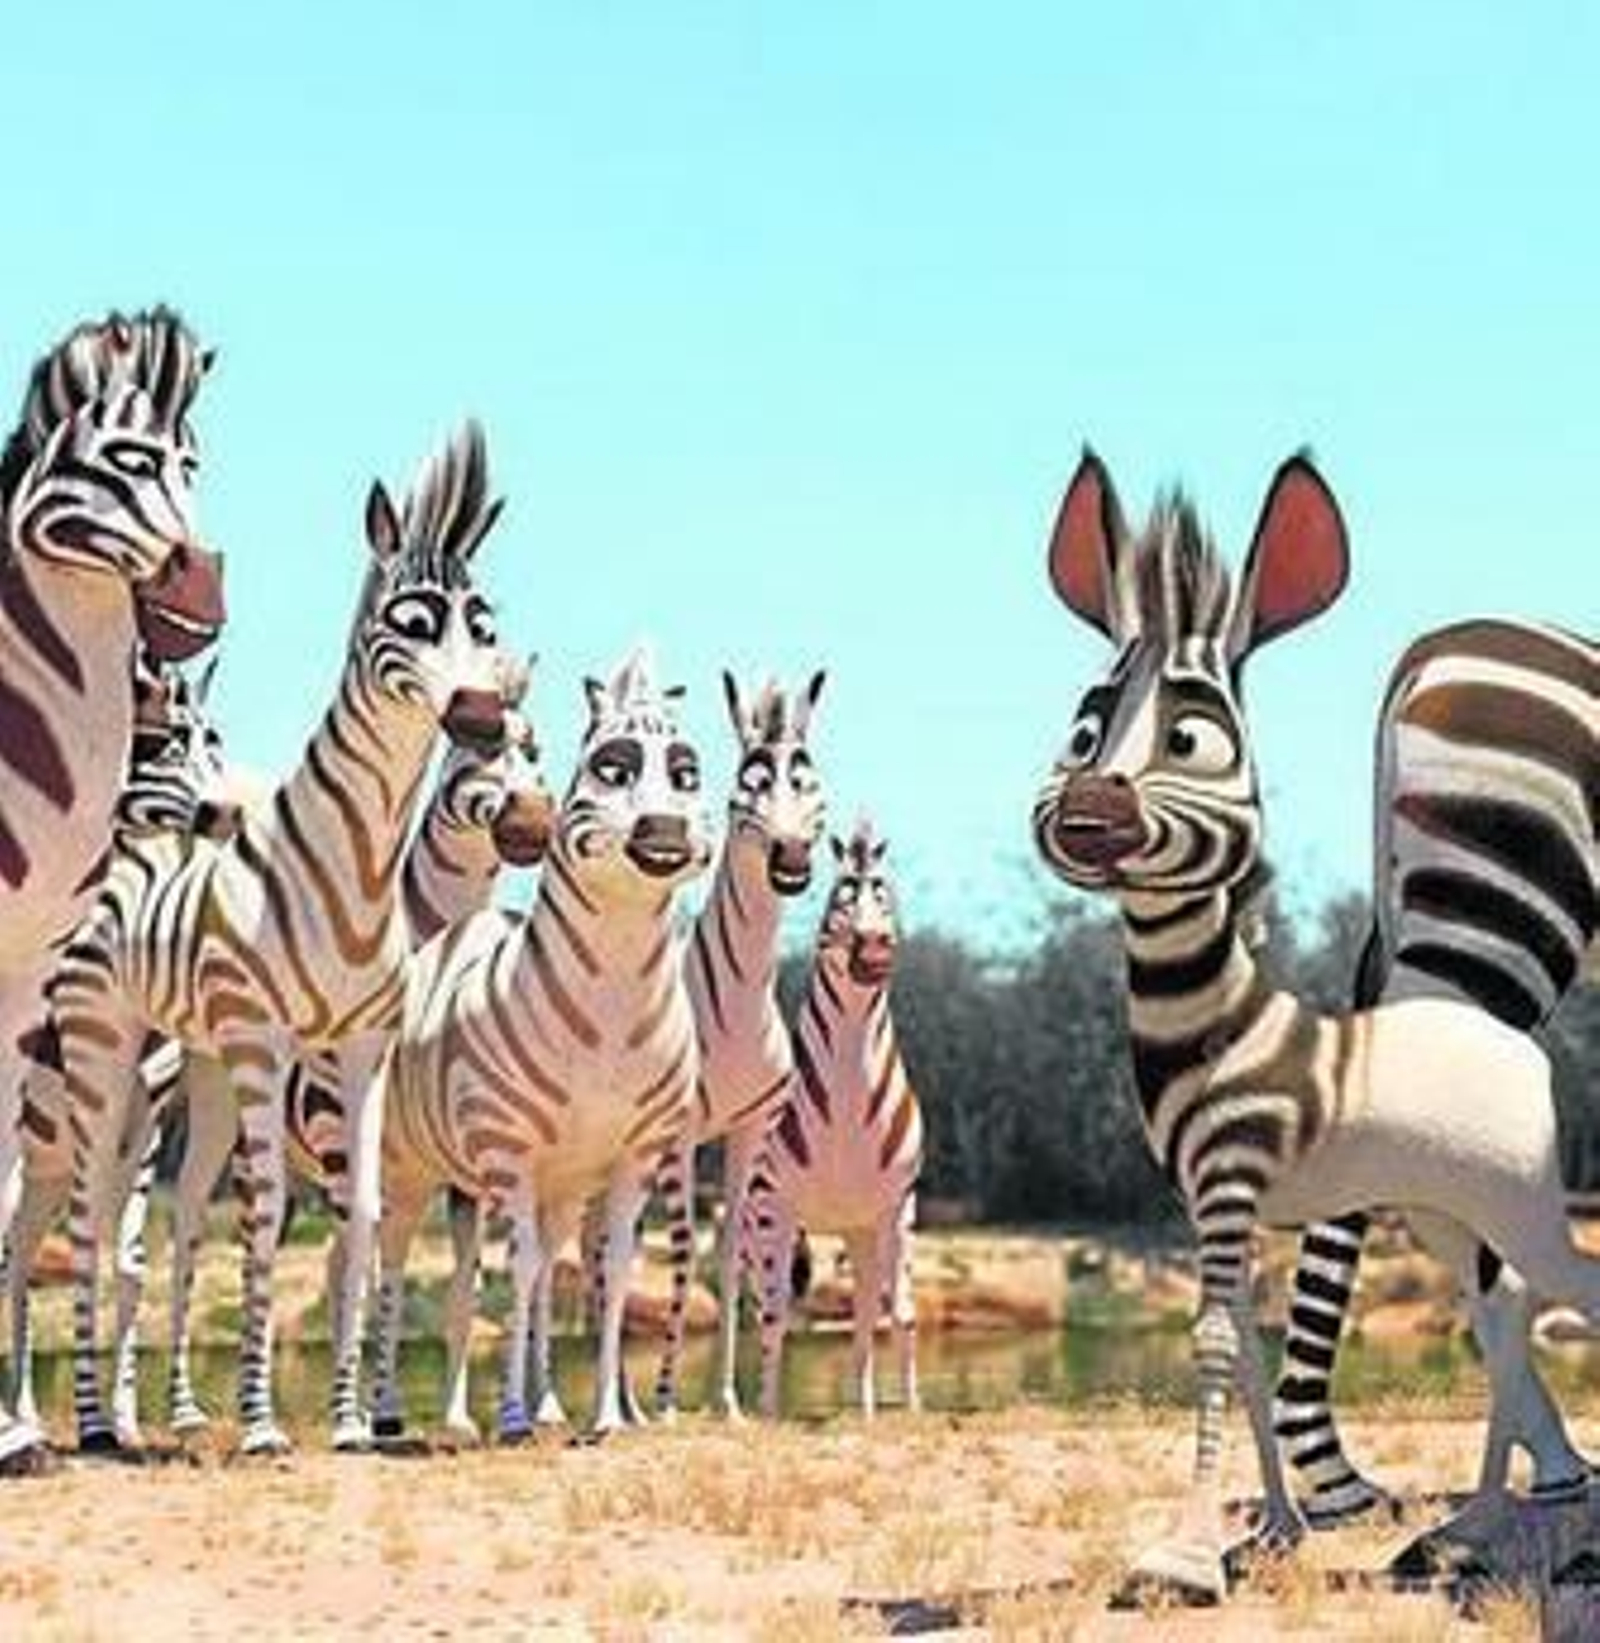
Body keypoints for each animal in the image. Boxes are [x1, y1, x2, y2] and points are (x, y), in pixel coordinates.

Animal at [56, 420, 510, 1456]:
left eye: (485, 622)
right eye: (409, 620)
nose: (479, 715)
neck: (358, 864)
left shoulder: (360, 1046)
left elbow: (362, 1219)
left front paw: (348, 1421)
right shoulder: (268, 1041)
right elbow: (265, 1218)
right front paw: (264, 1424)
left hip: (197, 1068)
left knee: (175, 1217)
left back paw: (159, 1415)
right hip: (106, 1047)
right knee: (89, 1217)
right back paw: (98, 1425)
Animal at [373, 645, 711, 1443]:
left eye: (687, 774)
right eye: (610, 768)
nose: (666, 830)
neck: (612, 1010)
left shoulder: (630, 1157)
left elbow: (609, 1278)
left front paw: (605, 1416)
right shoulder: (510, 1150)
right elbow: (521, 1275)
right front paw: (513, 1416)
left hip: (525, 1182)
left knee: (482, 1285)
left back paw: (514, 1409)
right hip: (412, 1170)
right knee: (395, 1264)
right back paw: (392, 1412)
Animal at [742, 817, 923, 1420]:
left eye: (882, 892)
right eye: (840, 893)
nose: (873, 950)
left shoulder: (897, 1206)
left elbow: (900, 1312)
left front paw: (910, 1408)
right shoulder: (776, 1206)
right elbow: (775, 1317)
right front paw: (768, 1414)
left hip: (860, 1228)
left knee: (867, 1306)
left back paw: (863, 1405)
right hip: (757, 1229)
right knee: (762, 1307)